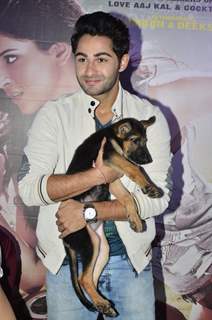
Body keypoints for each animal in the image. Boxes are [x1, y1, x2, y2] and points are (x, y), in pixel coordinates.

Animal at [63, 116, 163, 316]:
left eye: (146, 141)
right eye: (135, 140)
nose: (149, 160)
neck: (112, 136)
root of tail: (65, 240)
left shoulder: (112, 178)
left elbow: (127, 197)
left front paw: (135, 220)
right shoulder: (110, 157)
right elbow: (134, 169)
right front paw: (149, 186)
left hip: (101, 248)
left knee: (89, 278)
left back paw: (102, 303)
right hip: (88, 244)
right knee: (83, 278)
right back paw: (103, 304)